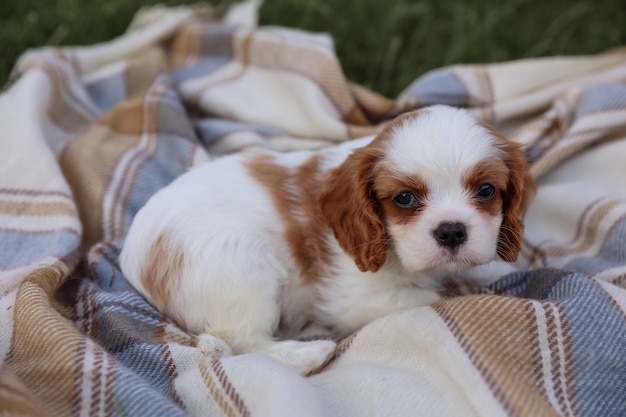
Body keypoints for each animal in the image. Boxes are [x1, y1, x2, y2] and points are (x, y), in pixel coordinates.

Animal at [119, 104, 532, 374]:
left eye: (485, 190)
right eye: (404, 198)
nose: (451, 231)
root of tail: (131, 257)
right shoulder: (358, 298)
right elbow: (441, 298)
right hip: (242, 269)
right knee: (243, 341)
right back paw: (310, 353)